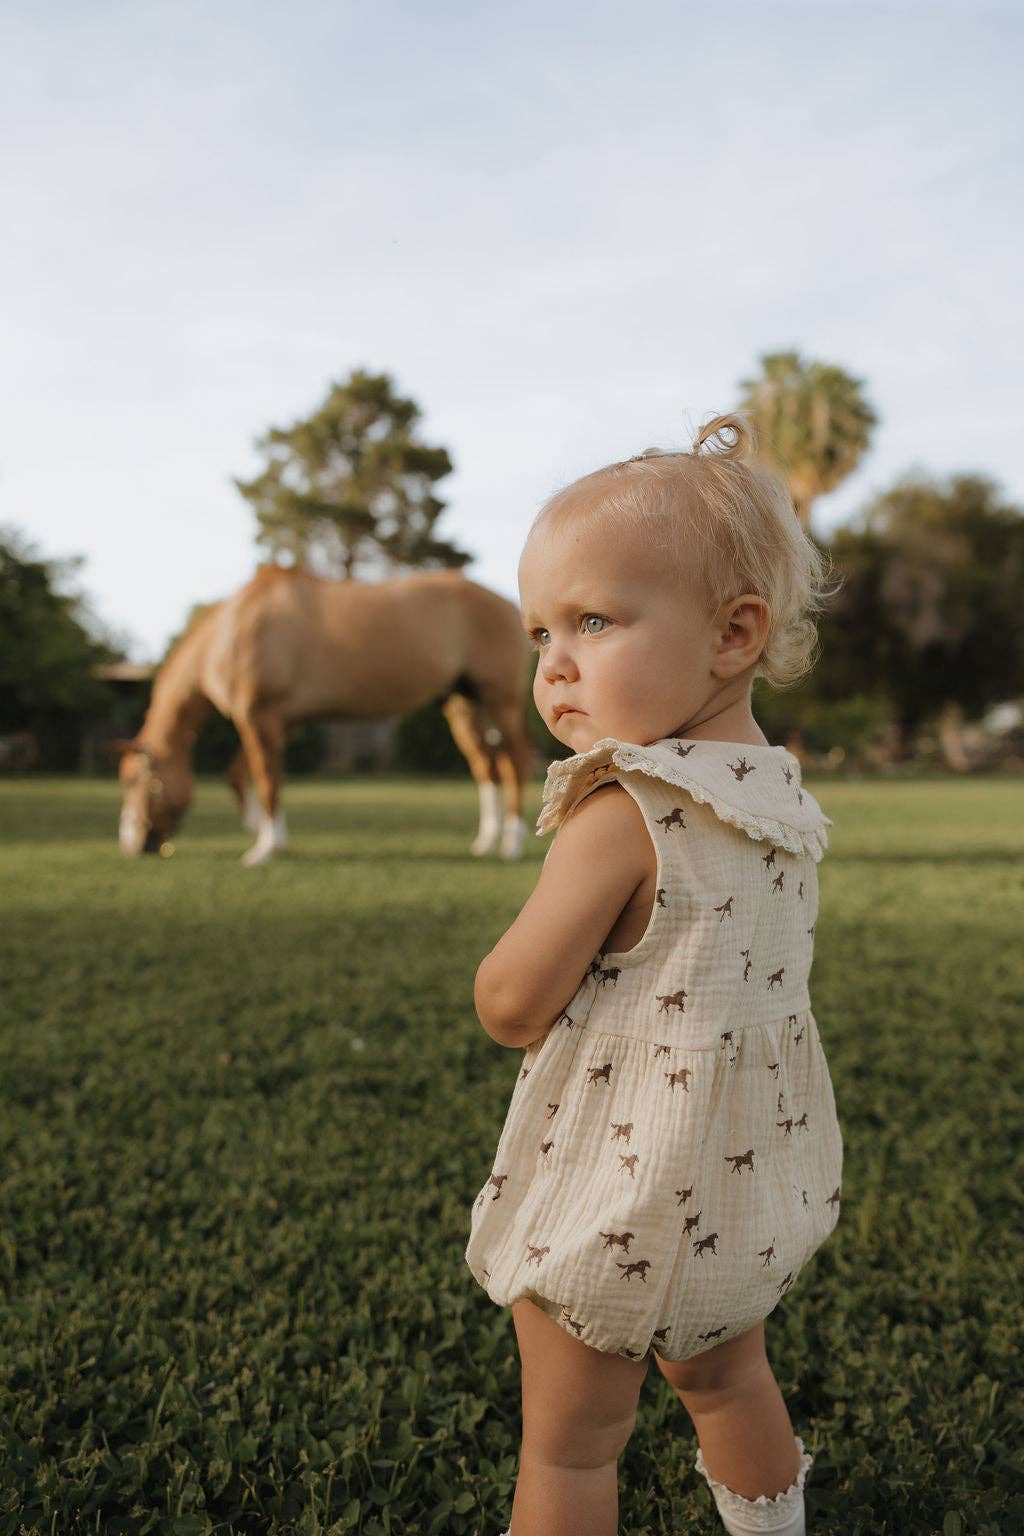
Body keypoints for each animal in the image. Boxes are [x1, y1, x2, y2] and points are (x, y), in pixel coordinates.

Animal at [112, 565, 535, 865]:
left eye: (136, 781)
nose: (131, 845)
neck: (233, 630)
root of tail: (506, 603)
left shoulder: (259, 718)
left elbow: (266, 780)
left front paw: (265, 848)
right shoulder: (277, 723)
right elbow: (244, 772)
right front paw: (264, 832)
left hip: (501, 699)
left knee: (514, 761)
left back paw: (512, 843)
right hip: (463, 706)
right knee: (487, 766)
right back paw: (487, 840)